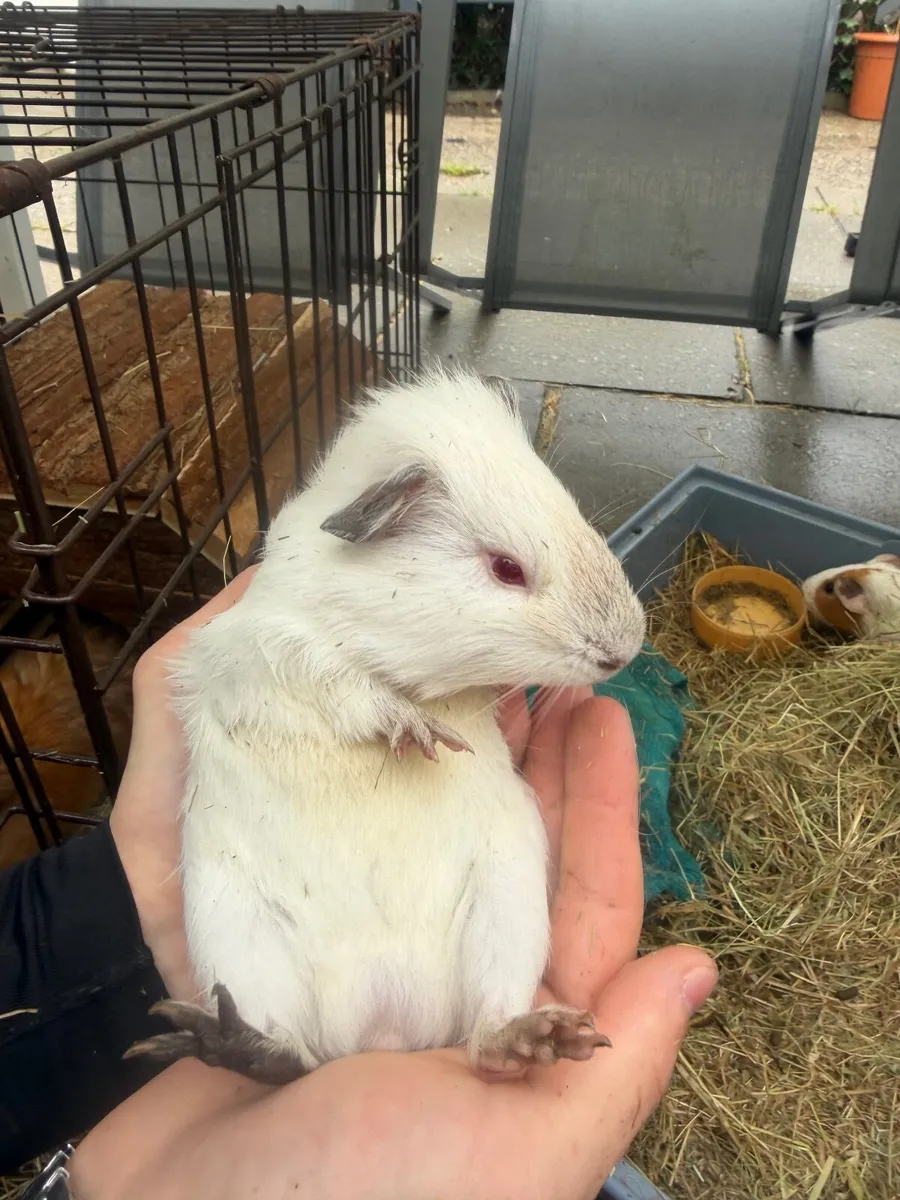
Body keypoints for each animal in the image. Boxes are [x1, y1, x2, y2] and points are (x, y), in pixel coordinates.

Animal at [129, 367, 646, 1083]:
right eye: (506, 568)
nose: (626, 648)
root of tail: (382, 1027)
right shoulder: (267, 652)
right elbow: (347, 688)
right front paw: (425, 737)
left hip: (506, 898)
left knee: (484, 1031)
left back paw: (548, 1038)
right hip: (234, 929)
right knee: (284, 1055)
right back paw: (209, 1036)